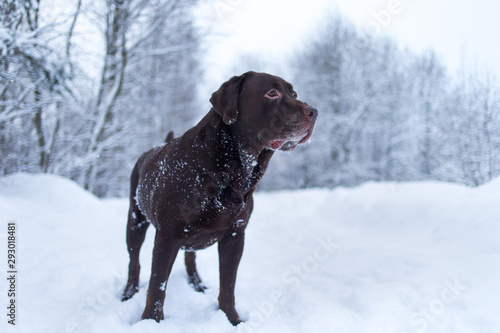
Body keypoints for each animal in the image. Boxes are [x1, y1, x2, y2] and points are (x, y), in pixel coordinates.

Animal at [121, 71, 316, 322]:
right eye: (271, 93)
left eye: (294, 93)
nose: (314, 111)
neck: (230, 172)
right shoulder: (167, 235)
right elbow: (157, 286)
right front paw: (150, 321)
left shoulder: (234, 236)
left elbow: (228, 285)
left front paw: (231, 319)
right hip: (135, 220)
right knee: (134, 261)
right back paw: (128, 292)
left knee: (190, 257)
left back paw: (196, 284)